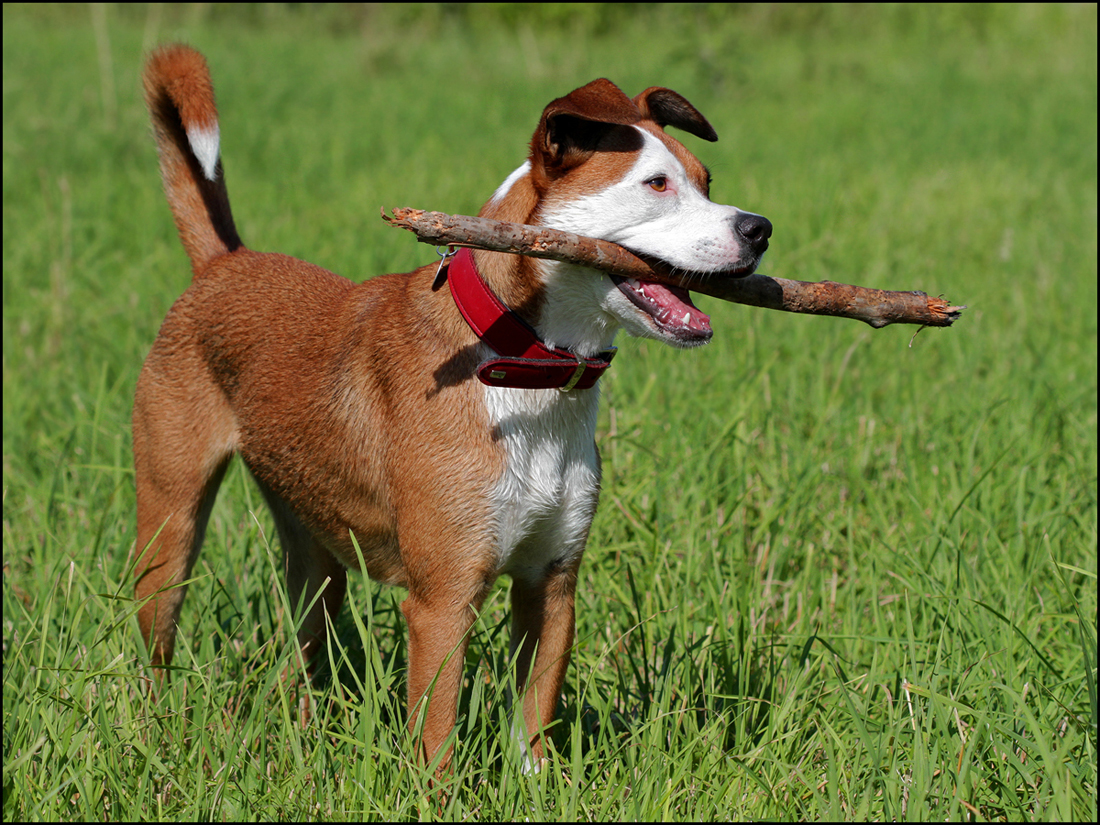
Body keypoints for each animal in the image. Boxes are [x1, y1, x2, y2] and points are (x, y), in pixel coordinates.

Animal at [135, 43, 774, 770]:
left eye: (705, 179)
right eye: (656, 185)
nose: (759, 229)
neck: (526, 371)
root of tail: (221, 264)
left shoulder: (551, 585)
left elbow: (532, 726)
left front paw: (533, 785)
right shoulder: (442, 602)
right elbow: (435, 742)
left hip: (314, 552)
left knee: (300, 650)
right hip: (169, 522)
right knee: (156, 639)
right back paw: (153, 731)